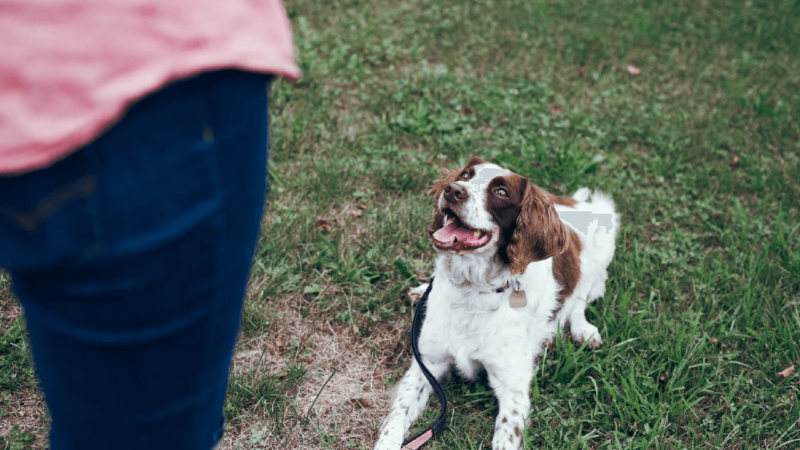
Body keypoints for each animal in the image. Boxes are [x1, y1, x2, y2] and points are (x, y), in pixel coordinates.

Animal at [376, 157, 620, 450]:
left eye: (501, 192)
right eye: (465, 175)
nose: (452, 190)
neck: (473, 289)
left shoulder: (512, 389)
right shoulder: (427, 365)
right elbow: (396, 419)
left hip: (604, 234)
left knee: (582, 297)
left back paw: (584, 330)